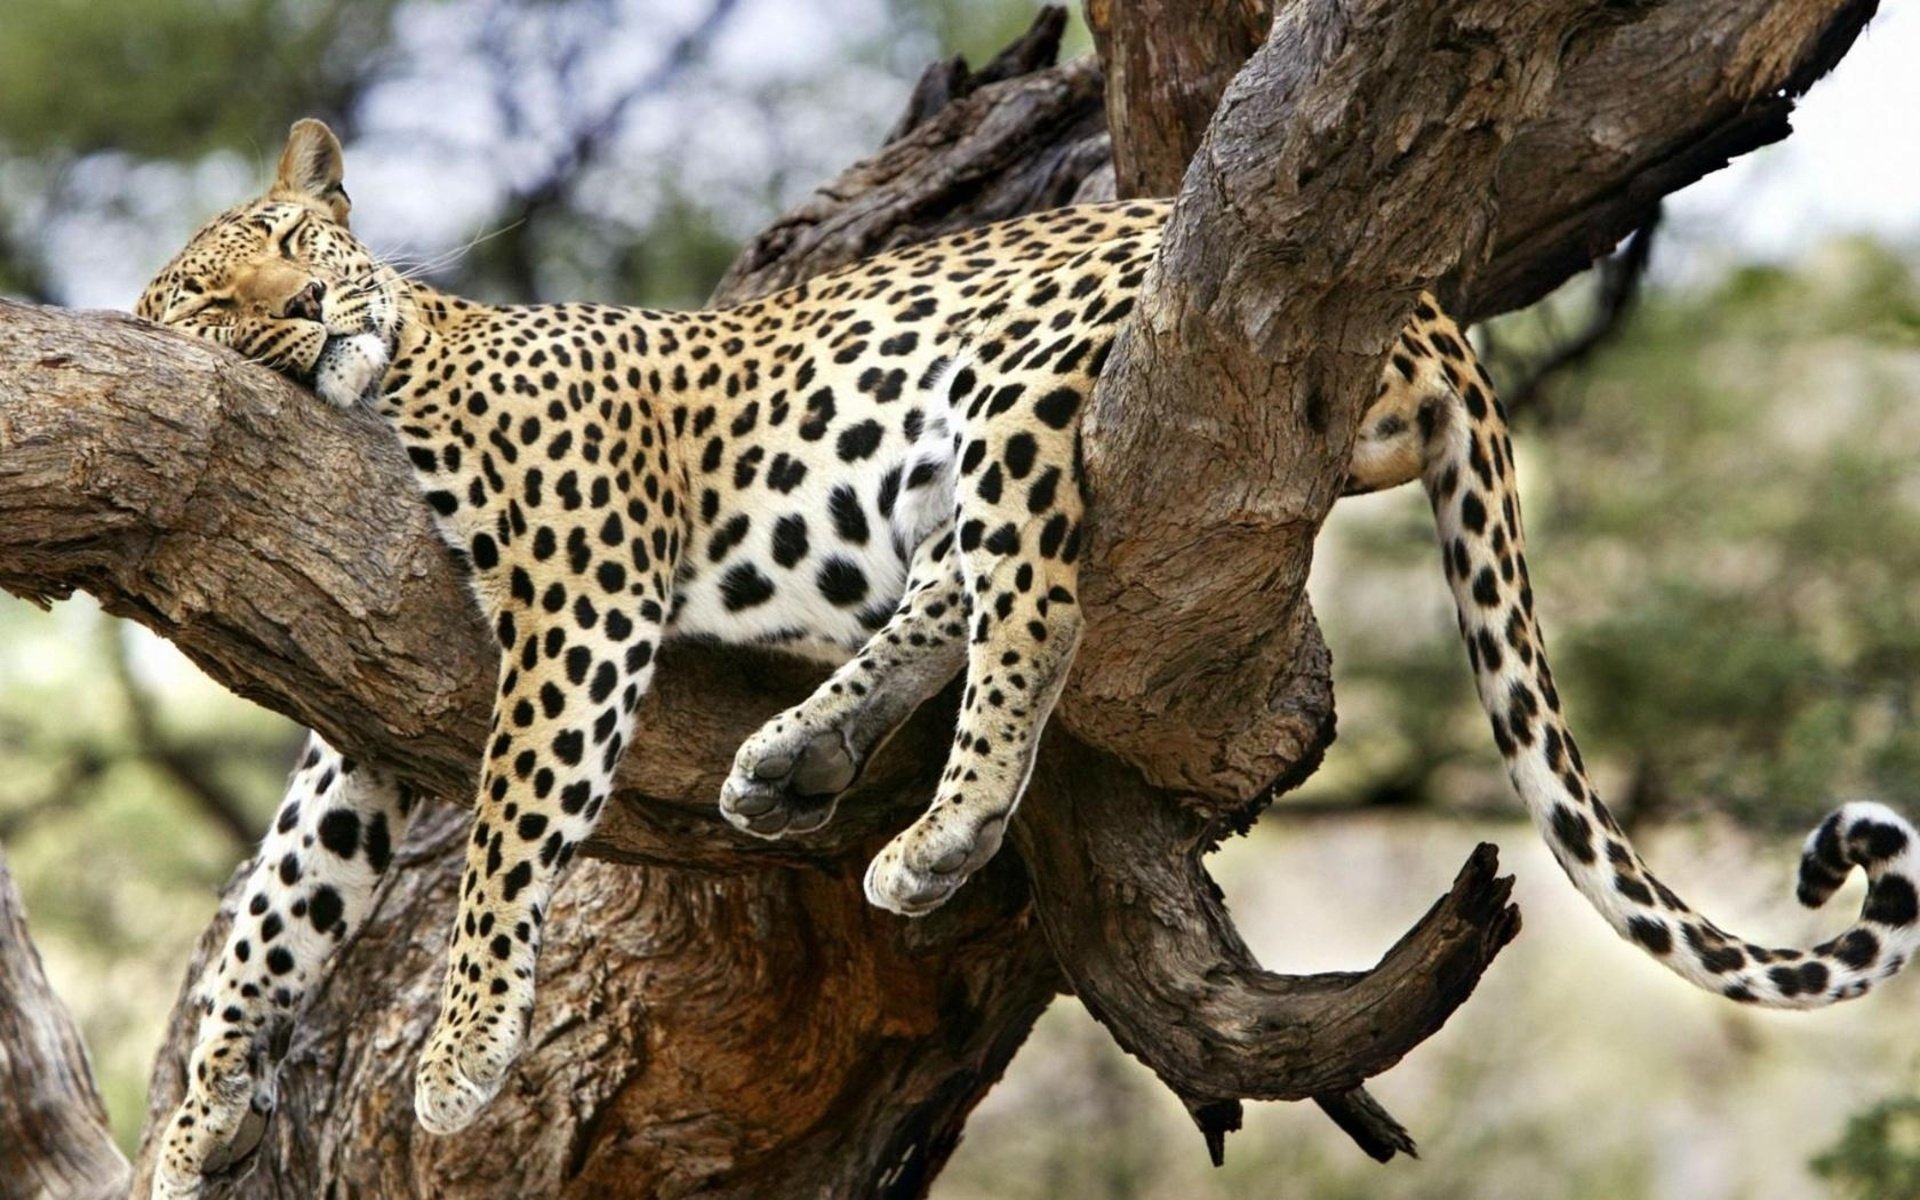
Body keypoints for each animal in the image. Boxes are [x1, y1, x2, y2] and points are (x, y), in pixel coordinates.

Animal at [135, 119, 1920, 1197]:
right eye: (210, 303)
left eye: (297, 240)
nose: (304, 314)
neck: (398, 377)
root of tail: (1425, 305)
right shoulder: (364, 709)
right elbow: (278, 905)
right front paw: (194, 1119)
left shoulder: (579, 603)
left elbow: (507, 839)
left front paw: (455, 1061)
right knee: (958, 590)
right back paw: (798, 761)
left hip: (1015, 383)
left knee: (1037, 606)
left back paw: (935, 837)